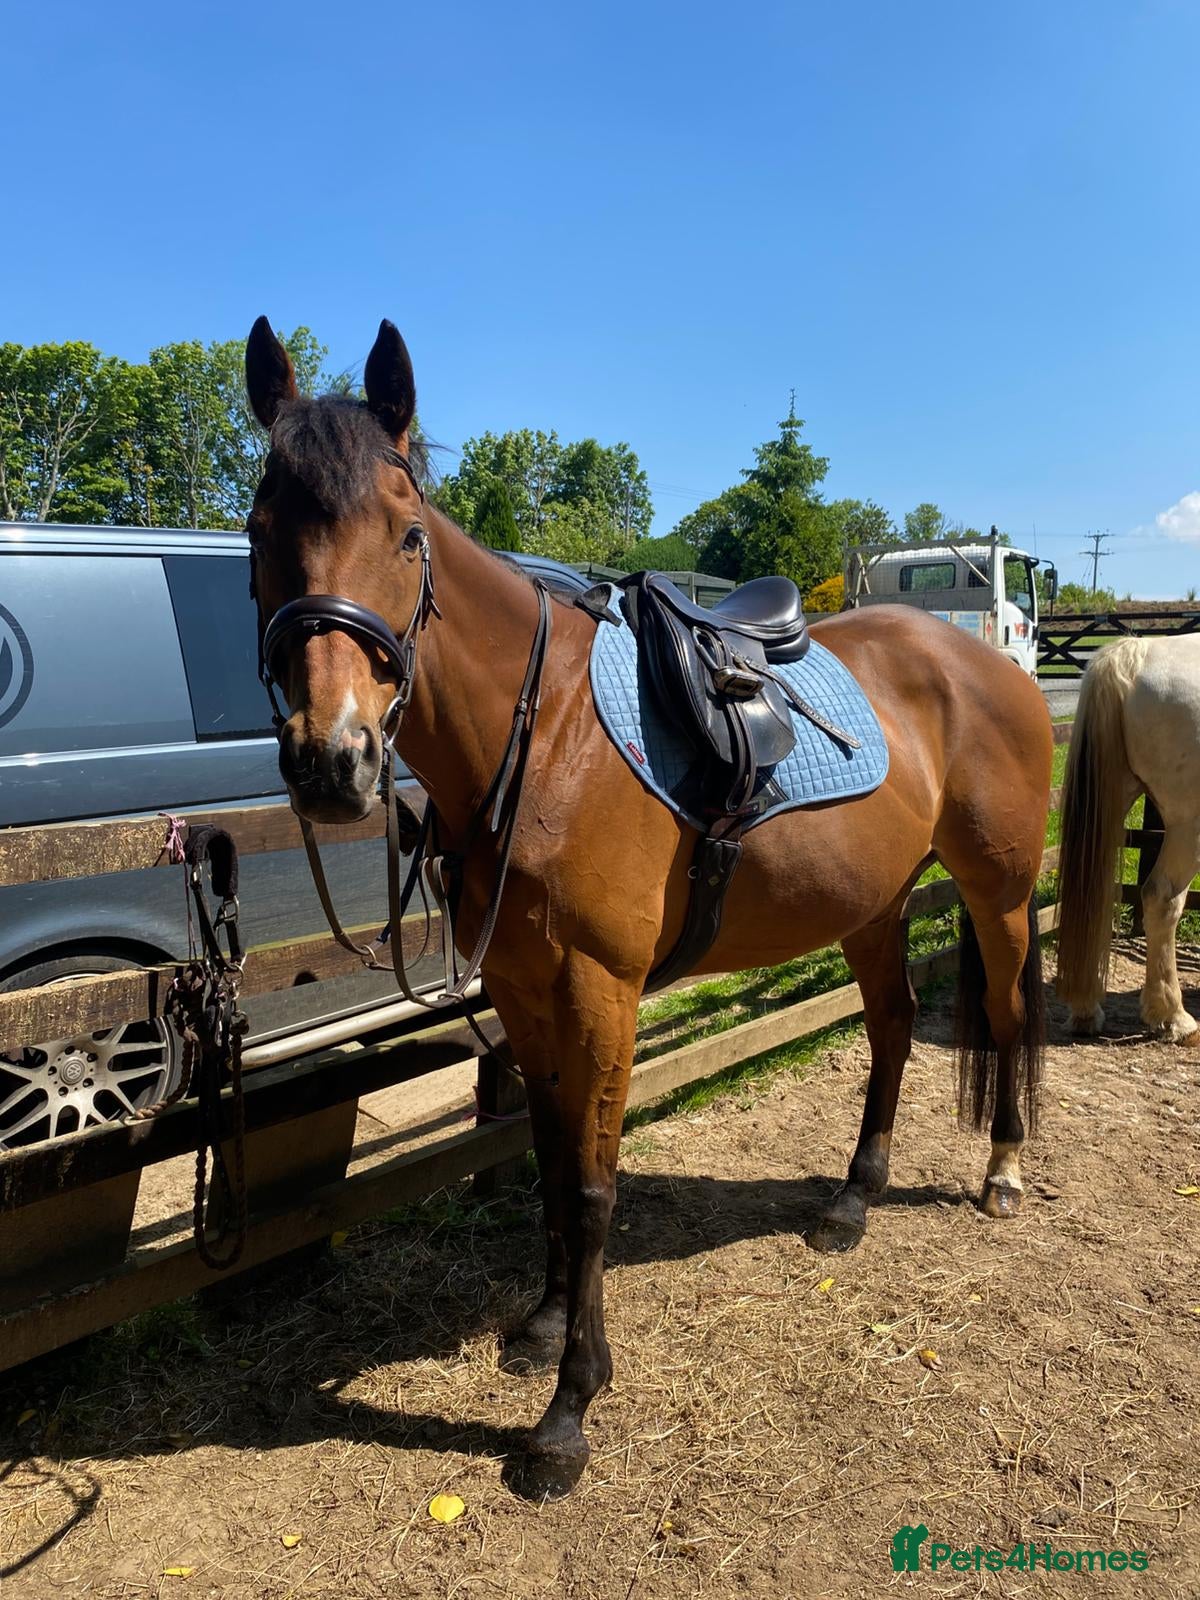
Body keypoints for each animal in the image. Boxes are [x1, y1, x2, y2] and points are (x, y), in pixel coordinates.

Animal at [243, 314, 1052, 1499]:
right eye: (260, 529)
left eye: (405, 536)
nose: (330, 762)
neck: (548, 737)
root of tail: (992, 660)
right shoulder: (524, 990)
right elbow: (546, 1159)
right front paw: (541, 1324)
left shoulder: (601, 991)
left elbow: (592, 1185)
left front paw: (567, 1412)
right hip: (873, 902)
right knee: (896, 1028)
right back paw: (852, 1200)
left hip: (996, 889)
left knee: (1003, 1014)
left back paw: (1000, 1173)